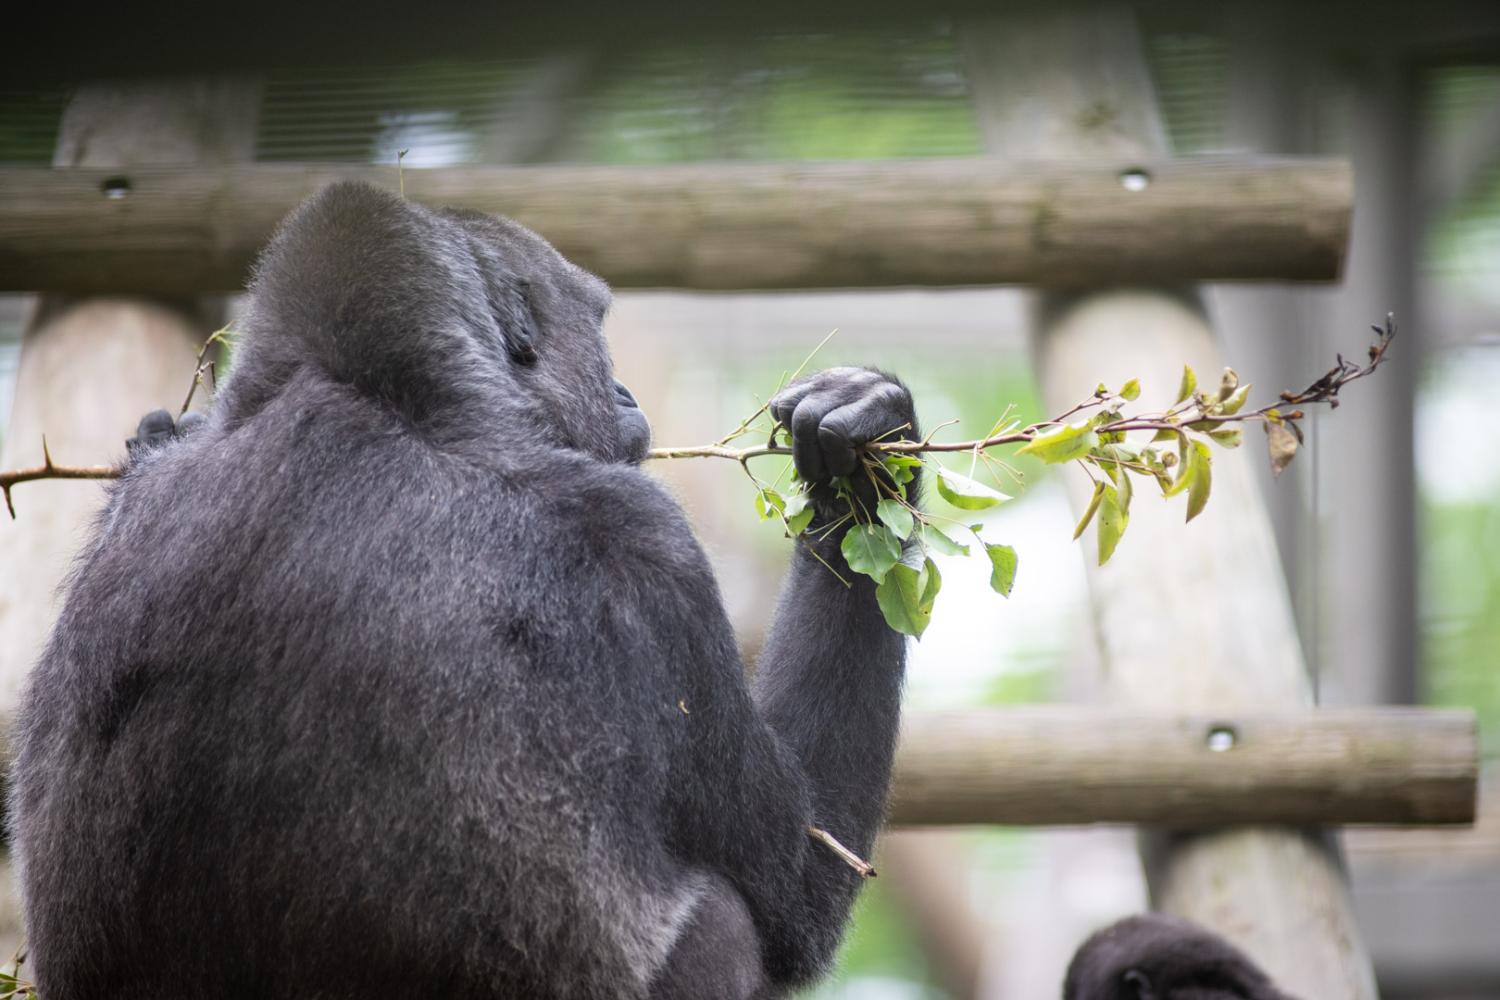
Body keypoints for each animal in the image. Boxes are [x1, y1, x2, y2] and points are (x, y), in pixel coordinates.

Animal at [11, 182, 912, 1000]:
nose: (623, 393)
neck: (368, 388)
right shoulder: (648, 545)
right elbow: (804, 889)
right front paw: (874, 459)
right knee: (727, 924)